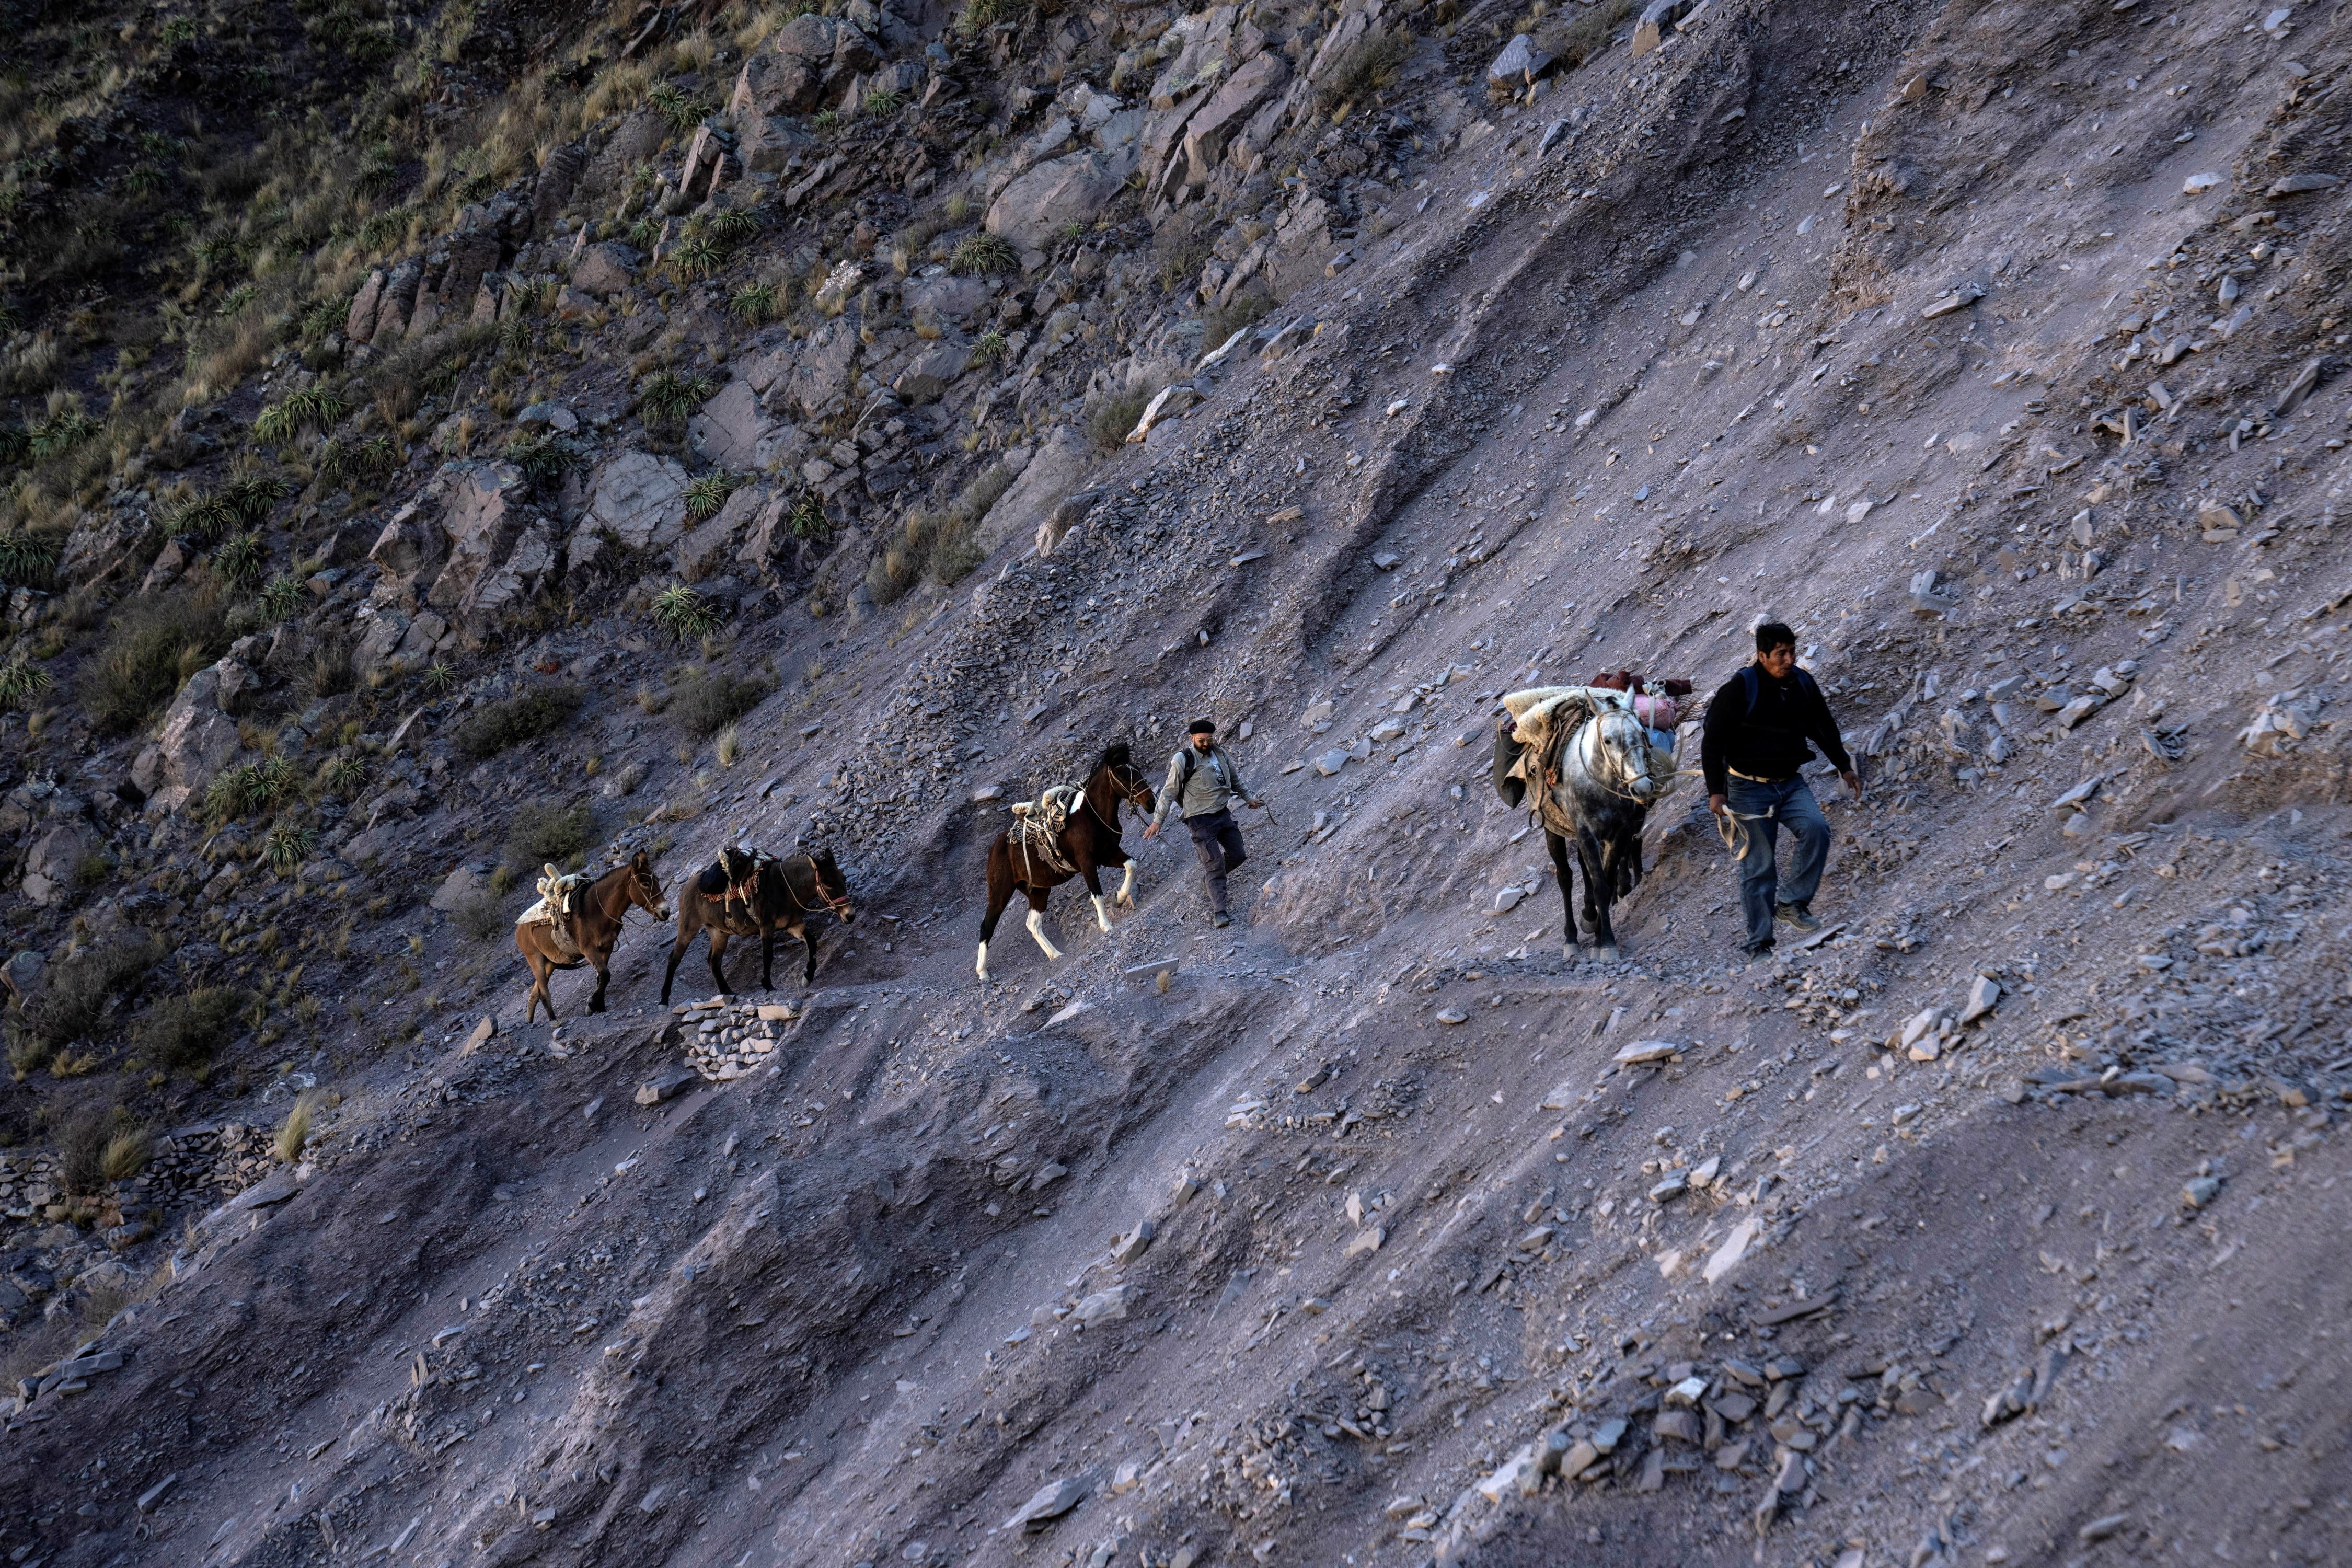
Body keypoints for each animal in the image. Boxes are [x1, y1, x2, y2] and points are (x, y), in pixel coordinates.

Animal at [510, 851, 668, 1025]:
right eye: (645, 884)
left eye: (657, 880)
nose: (665, 912)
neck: (598, 910)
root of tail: (519, 930)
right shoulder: (589, 950)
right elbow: (605, 975)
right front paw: (592, 1006)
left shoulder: (607, 947)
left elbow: (602, 977)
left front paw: (600, 1006)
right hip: (536, 959)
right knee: (544, 995)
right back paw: (552, 1021)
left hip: (550, 963)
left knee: (534, 995)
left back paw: (530, 1022)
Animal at [663, 846, 856, 1006]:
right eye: (828, 883)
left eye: (843, 879)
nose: (850, 915)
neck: (786, 888)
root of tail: (686, 888)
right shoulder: (766, 926)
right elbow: (767, 955)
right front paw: (768, 986)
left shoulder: (794, 925)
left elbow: (812, 942)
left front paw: (807, 977)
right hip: (688, 928)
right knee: (674, 958)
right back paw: (664, 1000)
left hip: (719, 933)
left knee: (714, 961)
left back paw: (728, 992)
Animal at [978, 747, 1152, 983]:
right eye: (1123, 775)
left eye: (1137, 770)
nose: (1151, 802)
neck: (1091, 815)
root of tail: (994, 850)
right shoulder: (1087, 863)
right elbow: (1097, 895)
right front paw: (1106, 926)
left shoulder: (1108, 855)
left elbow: (1132, 865)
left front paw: (1120, 898)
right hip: (1000, 893)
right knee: (986, 927)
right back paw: (983, 973)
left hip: (1039, 890)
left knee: (1033, 924)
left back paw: (1056, 954)